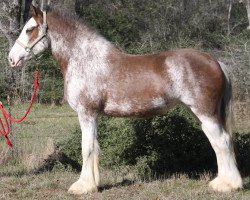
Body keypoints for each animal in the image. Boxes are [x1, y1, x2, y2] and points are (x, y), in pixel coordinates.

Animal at [8, 5, 242, 195]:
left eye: (29, 29)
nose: (11, 59)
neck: (85, 59)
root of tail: (215, 61)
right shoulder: (94, 116)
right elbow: (95, 147)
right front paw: (94, 184)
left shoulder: (86, 113)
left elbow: (87, 148)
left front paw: (82, 187)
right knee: (218, 141)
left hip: (206, 113)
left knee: (222, 141)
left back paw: (227, 185)